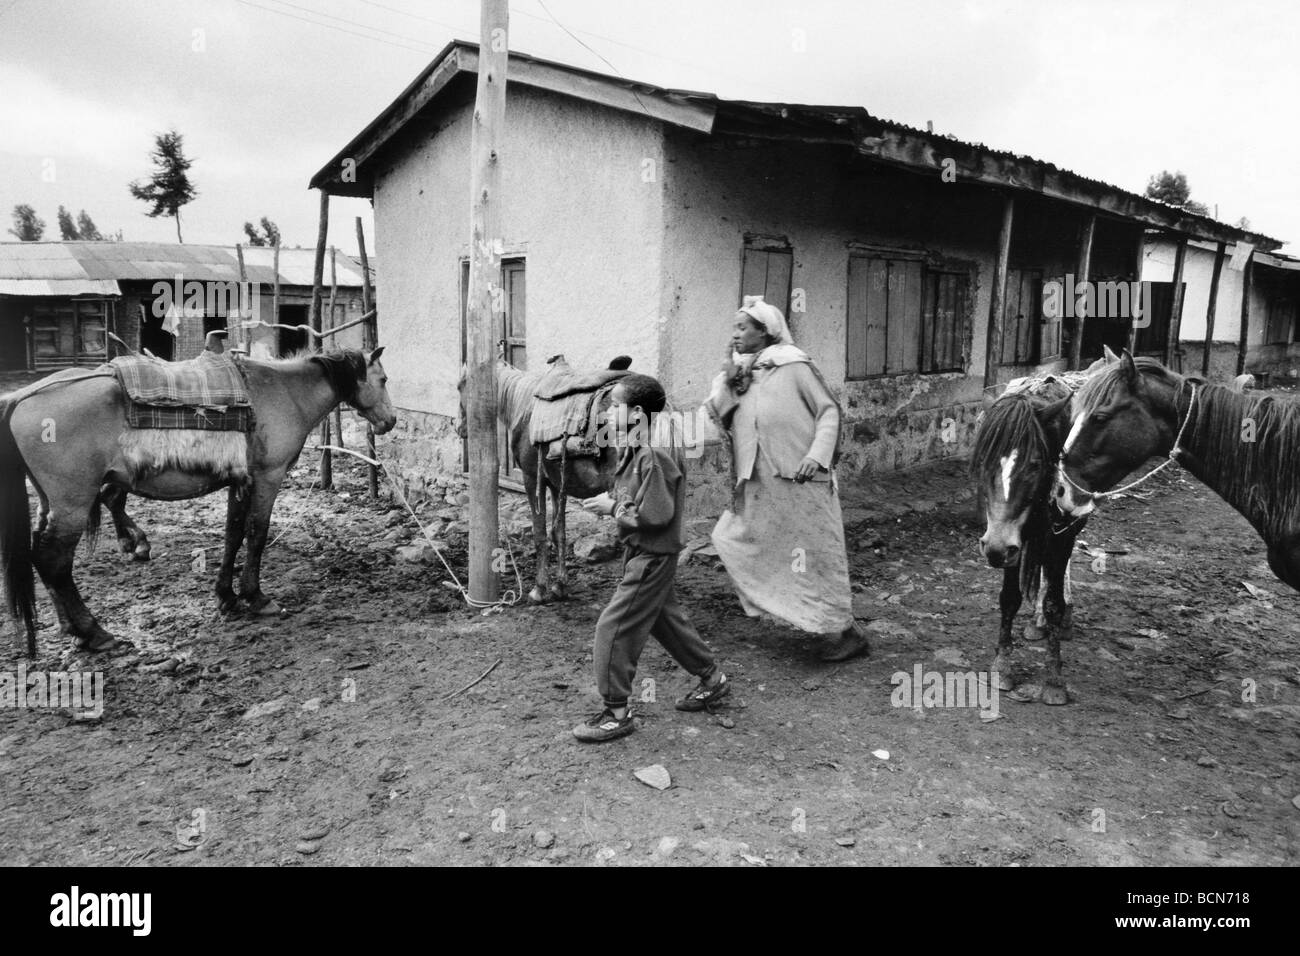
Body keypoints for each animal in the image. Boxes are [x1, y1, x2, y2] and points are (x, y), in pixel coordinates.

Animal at [1, 348, 395, 658]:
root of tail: (23, 396)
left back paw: (73, 629)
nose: (390, 421)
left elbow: (233, 535)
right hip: (73, 502)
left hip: (51, 501)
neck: (284, 391)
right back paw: (95, 632)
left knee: (43, 558)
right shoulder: (267, 478)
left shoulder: (240, 482)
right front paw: (256, 597)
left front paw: (227, 597)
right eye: (384, 378)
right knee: (54, 561)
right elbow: (257, 534)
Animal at [457, 351, 629, 606]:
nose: (459, 428)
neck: (523, 406)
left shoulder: (531, 479)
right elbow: (559, 532)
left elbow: (539, 533)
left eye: (460, 386)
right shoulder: (558, 484)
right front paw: (560, 586)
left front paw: (539, 589)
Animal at [977, 379, 1086, 702]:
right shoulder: (1011, 543)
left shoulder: (1059, 535)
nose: (994, 547)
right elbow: (1009, 598)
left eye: (1035, 465)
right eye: (985, 461)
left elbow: (1054, 602)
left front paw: (1054, 680)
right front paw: (1002, 667)